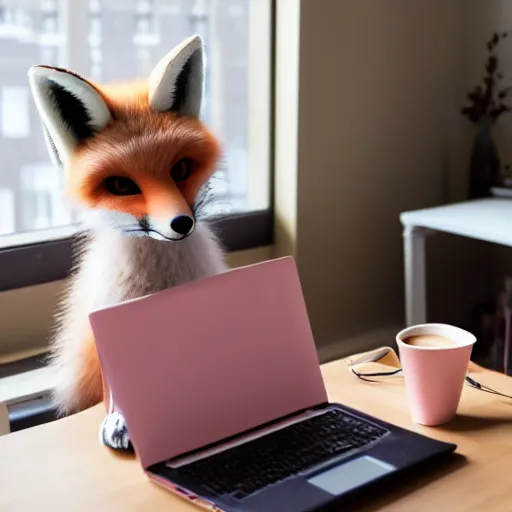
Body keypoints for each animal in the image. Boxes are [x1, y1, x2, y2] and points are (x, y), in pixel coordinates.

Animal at [28, 36, 227, 450]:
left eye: (181, 169)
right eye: (121, 185)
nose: (181, 223)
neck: (161, 284)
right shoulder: (115, 322)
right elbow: (124, 384)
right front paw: (123, 420)